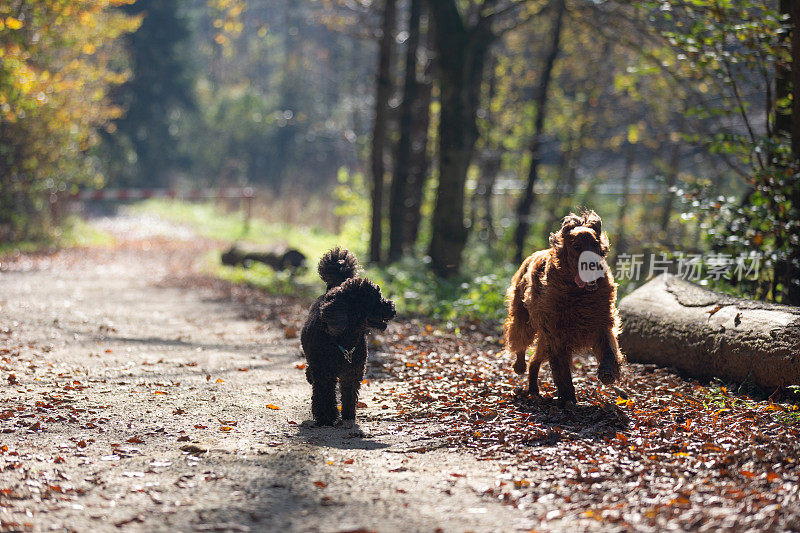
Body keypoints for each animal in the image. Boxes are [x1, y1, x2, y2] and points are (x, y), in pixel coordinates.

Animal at [300, 247, 396, 426]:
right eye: (372, 299)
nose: (393, 309)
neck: (344, 338)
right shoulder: (325, 374)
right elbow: (324, 395)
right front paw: (326, 417)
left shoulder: (352, 373)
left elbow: (349, 393)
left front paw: (348, 414)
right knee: (312, 376)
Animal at [504, 210, 620, 406]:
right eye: (576, 245)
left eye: (595, 244)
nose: (593, 265)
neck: (578, 292)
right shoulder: (557, 333)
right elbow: (562, 370)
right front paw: (568, 396)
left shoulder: (599, 323)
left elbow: (608, 350)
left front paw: (607, 373)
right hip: (524, 318)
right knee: (520, 341)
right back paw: (519, 366)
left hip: (544, 339)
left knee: (534, 361)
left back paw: (534, 389)